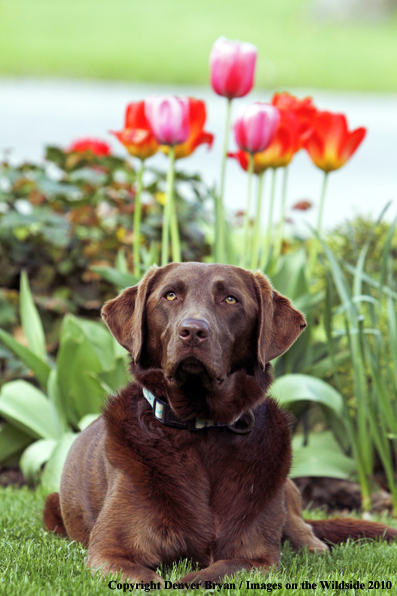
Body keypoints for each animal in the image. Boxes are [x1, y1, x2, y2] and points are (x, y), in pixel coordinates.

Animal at [43, 264, 396, 584]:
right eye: (170, 295)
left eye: (230, 299)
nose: (193, 331)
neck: (202, 427)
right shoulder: (109, 552)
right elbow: (149, 579)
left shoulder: (257, 557)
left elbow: (212, 574)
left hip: (283, 489)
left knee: (303, 528)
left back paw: (313, 547)